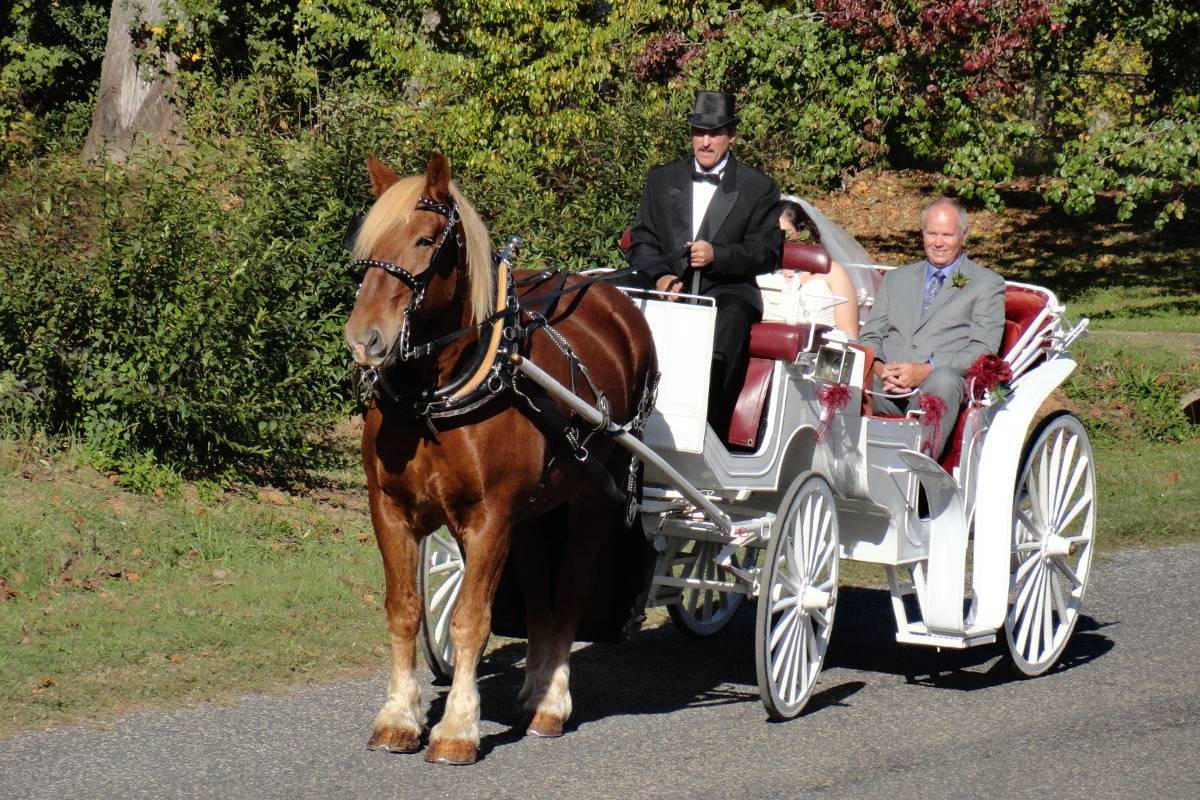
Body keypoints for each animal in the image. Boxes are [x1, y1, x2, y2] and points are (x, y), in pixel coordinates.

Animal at [343, 154, 657, 762]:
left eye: (425, 240)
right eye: (364, 242)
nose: (364, 338)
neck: (436, 399)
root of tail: (613, 299)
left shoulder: (489, 518)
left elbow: (470, 619)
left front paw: (457, 728)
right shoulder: (390, 509)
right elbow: (405, 609)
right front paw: (399, 716)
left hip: (592, 494)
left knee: (570, 589)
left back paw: (552, 703)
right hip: (532, 511)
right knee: (537, 594)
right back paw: (534, 689)